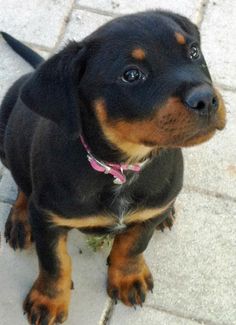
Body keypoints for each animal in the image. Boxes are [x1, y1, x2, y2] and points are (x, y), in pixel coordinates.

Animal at [0, 10, 226, 324]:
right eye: (131, 75)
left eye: (193, 52)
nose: (206, 99)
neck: (120, 169)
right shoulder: (49, 220)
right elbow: (55, 264)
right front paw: (48, 301)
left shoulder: (147, 212)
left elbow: (132, 246)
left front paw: (128, 278)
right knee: (22, 184)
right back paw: (20, 220)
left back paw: (167, 213)